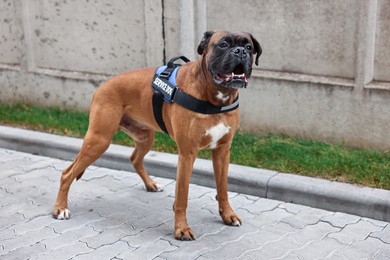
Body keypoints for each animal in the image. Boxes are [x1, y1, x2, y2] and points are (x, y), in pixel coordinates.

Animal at [51, 30, 258, 240]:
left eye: (249, 47)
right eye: (223, 44)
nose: (240, 51)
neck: (215, 97)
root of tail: (102, 86)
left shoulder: (223, 151)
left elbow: (222, 189)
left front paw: (228, 215)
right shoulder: (187, 154)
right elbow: (182, 196)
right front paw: (181, 228)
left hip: (145, 138)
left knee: (135, 159)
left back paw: (150, 184)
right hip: (99, 140)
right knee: (67, 173)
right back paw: (60, 208)